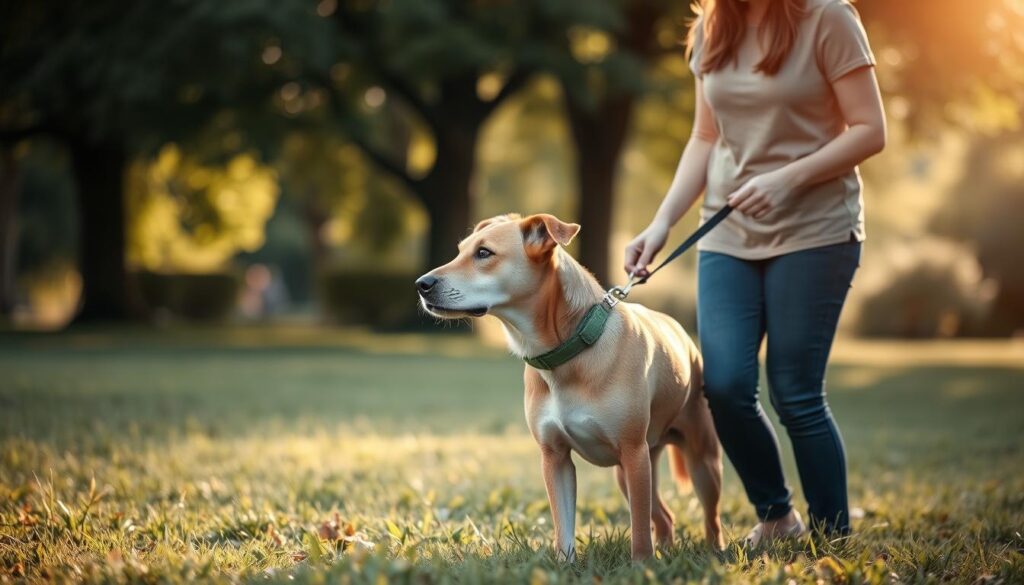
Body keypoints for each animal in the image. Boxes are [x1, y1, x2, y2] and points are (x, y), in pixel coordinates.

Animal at [417, 213, 729, 561]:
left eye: (484, 253)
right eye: (460, 251)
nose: (421, 284)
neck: (569, 349)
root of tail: (682, 335)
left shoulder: (633, 452)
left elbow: (638, 531)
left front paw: (641, 564)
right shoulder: (555, 457)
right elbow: (563, 524)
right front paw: (564, 564)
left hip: (698, 459)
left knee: (709, 515)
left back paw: (713, 550)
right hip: (633, 468)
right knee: (664, 516)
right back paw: (665, 548)